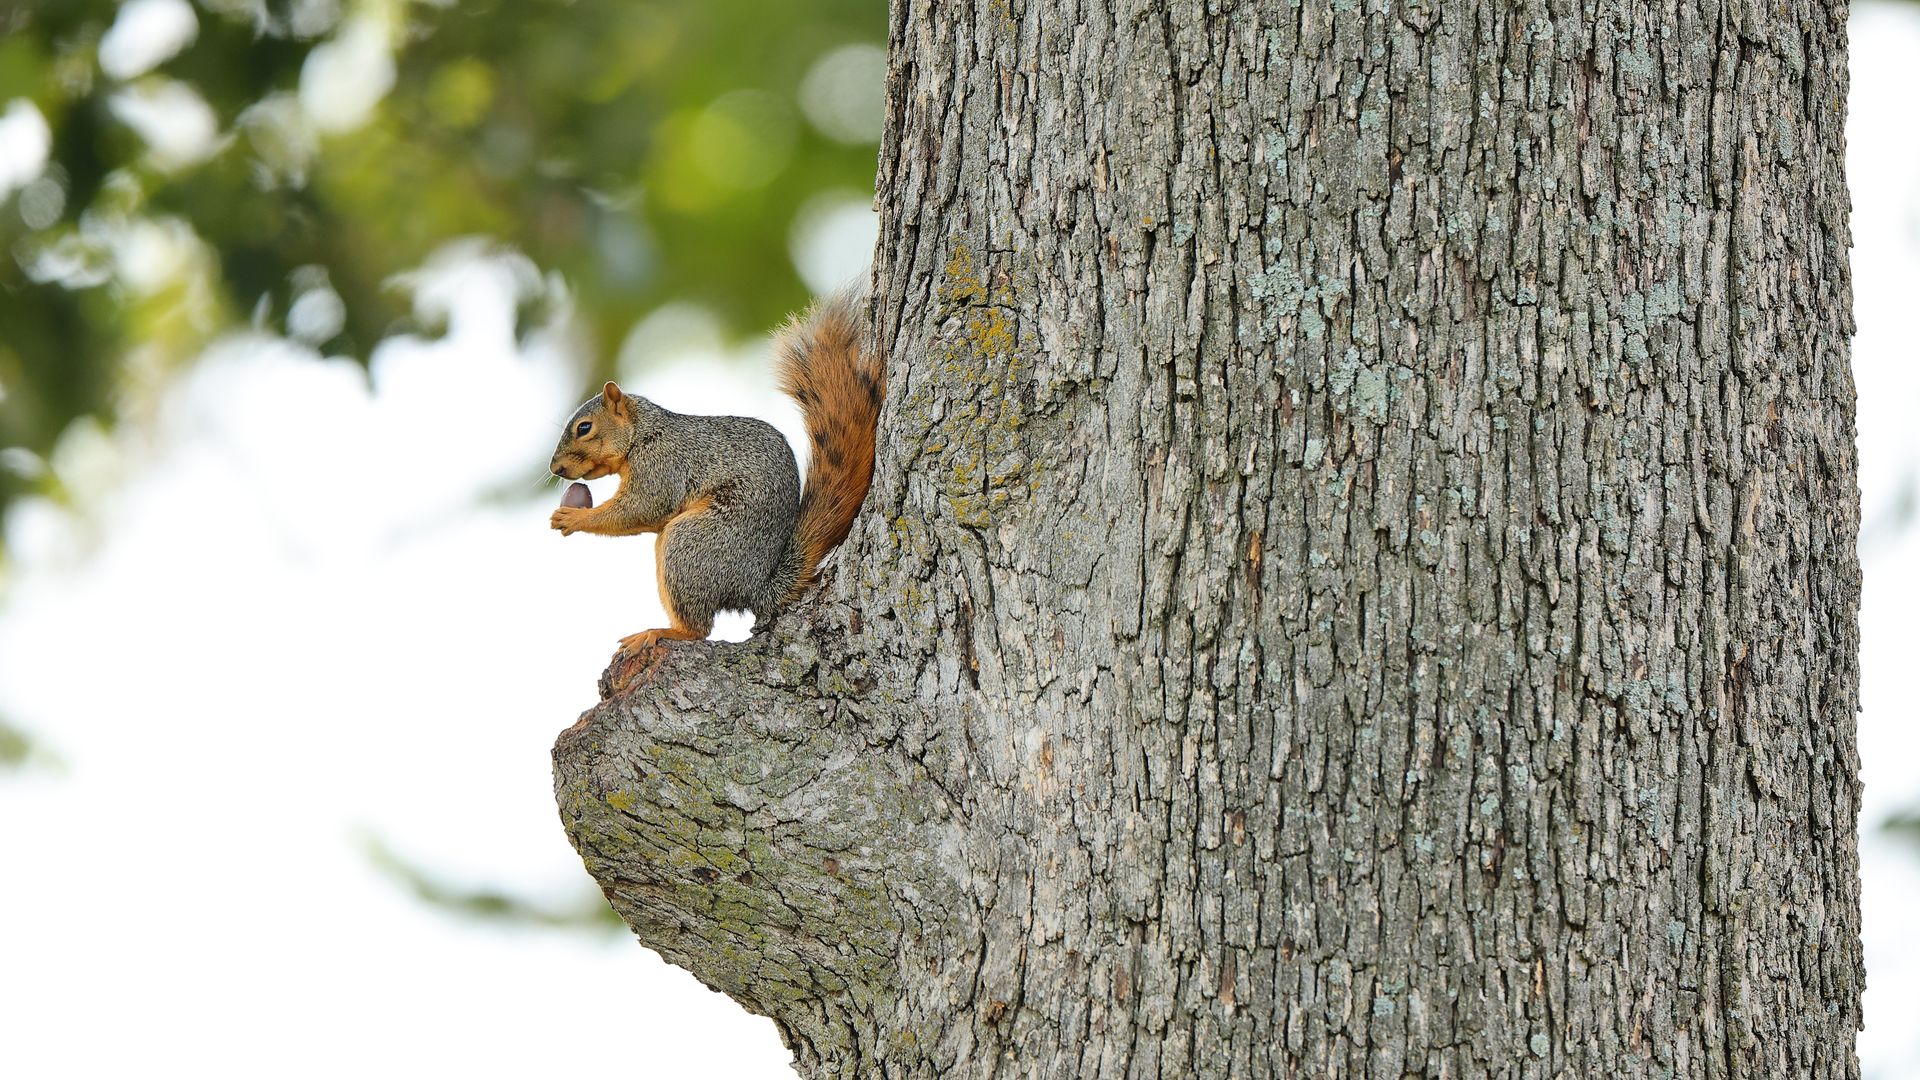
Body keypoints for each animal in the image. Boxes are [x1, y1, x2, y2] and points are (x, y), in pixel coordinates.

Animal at [548, 291, 883, 658]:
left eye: (584, 428)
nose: (555, 468)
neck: (644, 434)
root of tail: (756, 585)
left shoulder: (663, 466)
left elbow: (642, 508)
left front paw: (575, 518)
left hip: (692, 544)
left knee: (699, 628)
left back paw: (663, 631)